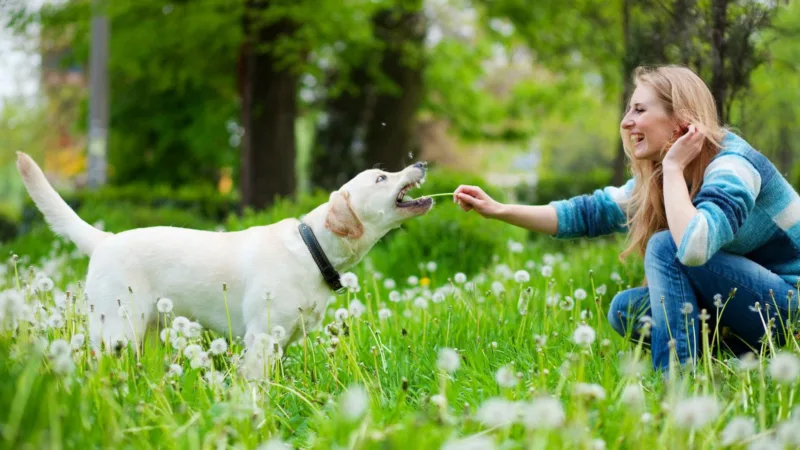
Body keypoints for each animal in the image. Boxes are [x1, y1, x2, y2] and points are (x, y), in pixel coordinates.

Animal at [15, 153, 434, 356]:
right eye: (381, 177)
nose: (421, 163)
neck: (312, 249)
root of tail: (104, 240)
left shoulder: (280, 342)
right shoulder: (261, 338)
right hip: (116, 330)